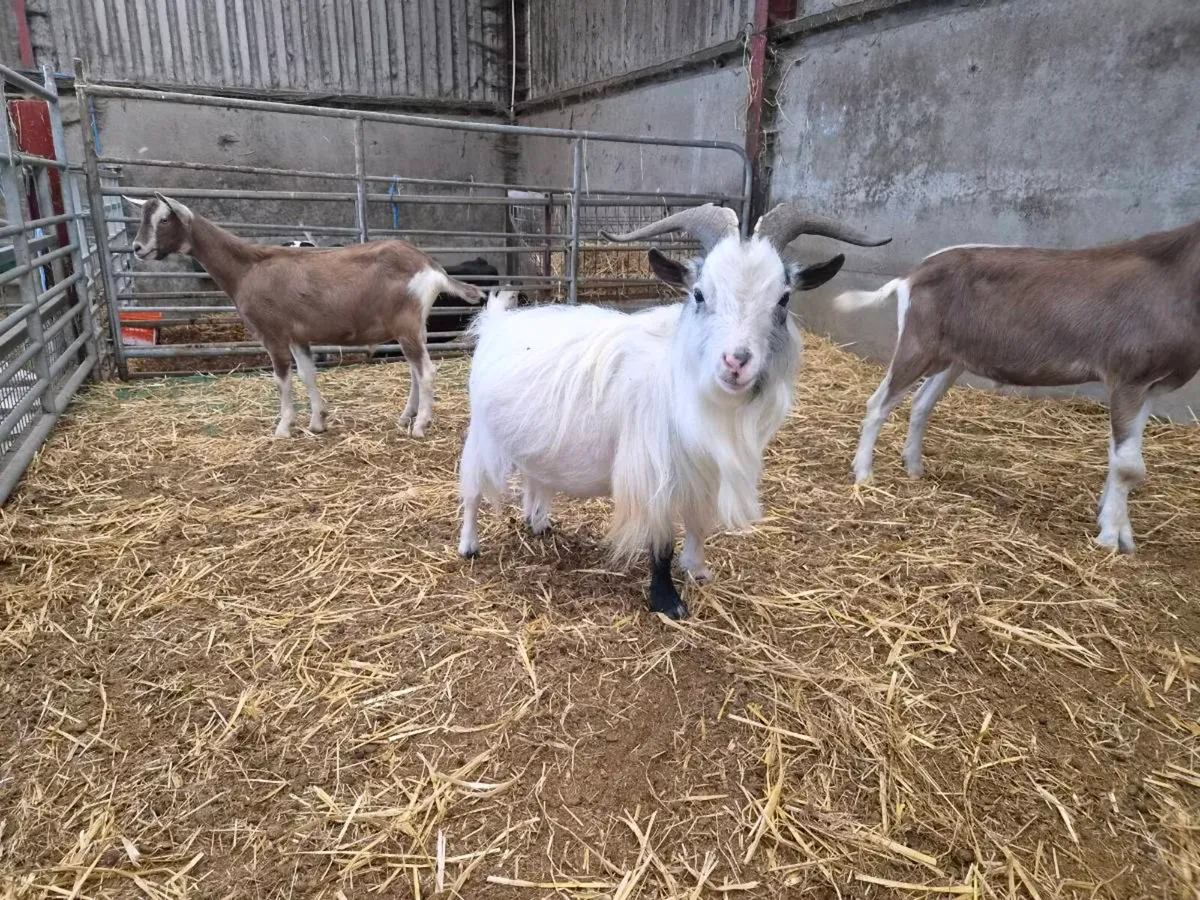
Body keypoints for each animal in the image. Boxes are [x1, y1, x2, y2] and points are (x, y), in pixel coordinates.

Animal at [126, 193, 483, 437]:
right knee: (414, 371)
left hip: (406, 324)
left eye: (164, 219)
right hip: (413, 326)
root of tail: (430, 266)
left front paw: (283, 427)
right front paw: (317, 421)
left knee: (426, 372)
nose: (138, 248)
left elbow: (282, 379)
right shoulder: (297, 334)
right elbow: (308, 374)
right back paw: (407, 416)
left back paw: (420, 425)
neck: (246, 268)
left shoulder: (272, 333)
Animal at [458, 203, 890, 619]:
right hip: (481, 436)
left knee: (535, 479)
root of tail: (497, 322)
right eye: (698, 294)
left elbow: (698, 524)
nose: (736, 362)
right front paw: (667, 601)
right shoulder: (655, 472)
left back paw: (538, 523)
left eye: (783, 298)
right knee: (473, 493)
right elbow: (662, 540)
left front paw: (697, 569)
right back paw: (470, 546)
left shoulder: (707, 473)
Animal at [837, 218, 1200, 553]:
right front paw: (1110, 539)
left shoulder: (1148, 387)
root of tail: (911, 275)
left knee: (922, 402)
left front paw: (1119, 530)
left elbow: (1120, 457)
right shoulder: (1129, 376)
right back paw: (863, 474)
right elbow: (1128, 467)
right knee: (878, 403)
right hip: (918, 344)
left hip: (953, 357)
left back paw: (913, 467)